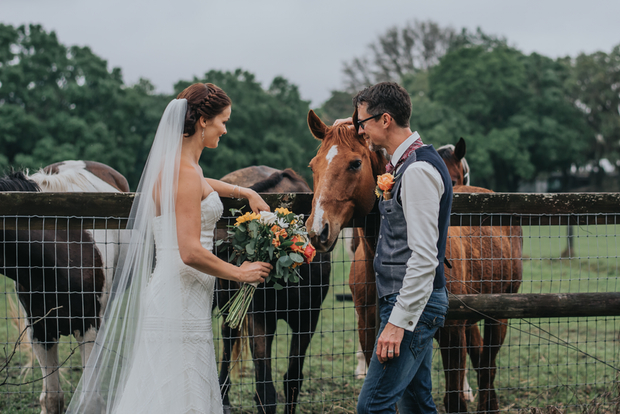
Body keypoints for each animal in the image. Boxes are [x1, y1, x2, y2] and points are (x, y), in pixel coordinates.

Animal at [306, 111, 524, 414]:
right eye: (313, 166)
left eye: (355, 163)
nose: (318, 230)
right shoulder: (369, 329)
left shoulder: (452, 332)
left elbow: (454, 397)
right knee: (482, 361)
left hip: (499, 314)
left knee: (487, 366)